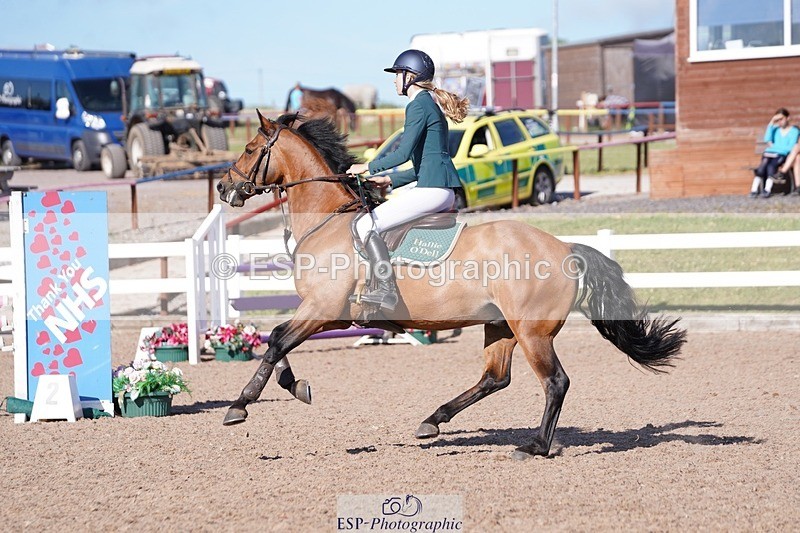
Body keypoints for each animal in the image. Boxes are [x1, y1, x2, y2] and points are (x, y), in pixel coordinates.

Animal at [216, 111, 687, 458]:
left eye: (250, 148)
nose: (223, 186)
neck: (327, 220)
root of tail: (565, 248)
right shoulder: (328, 314)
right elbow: (278, 343)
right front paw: (295, 387)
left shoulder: (323, 308)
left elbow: (276, 341)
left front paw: (240, 406)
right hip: (500, 326)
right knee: (495, 378)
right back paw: (433, 420)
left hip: (531, 332)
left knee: (555, 382)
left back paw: (534, 446)